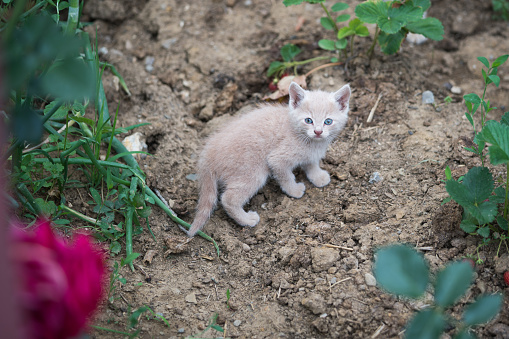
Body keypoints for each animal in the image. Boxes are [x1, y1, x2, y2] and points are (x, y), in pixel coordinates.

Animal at [186, 82, 350, 238]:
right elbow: (286, 176)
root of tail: (207, 154)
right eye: (308, 120)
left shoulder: (311, 154)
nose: (318, 131)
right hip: (253, 171)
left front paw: (318, 176)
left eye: (328, 121)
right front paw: (294, 190)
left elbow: (311, 164)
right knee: (228, 198)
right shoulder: (277, 159)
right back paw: (246, 220)